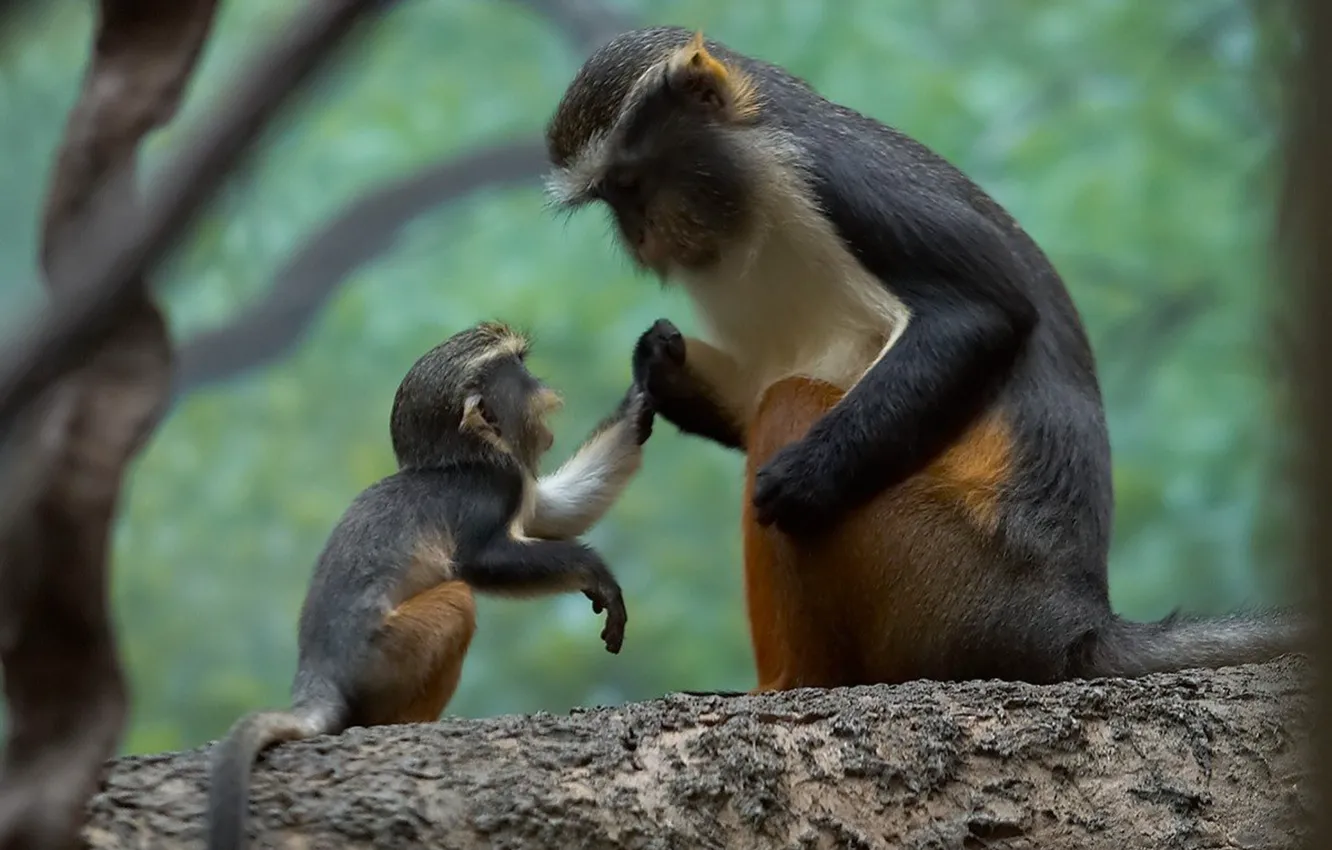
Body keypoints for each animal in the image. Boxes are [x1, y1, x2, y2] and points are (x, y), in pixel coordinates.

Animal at [206, 320, 654, 850]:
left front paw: (648, 382)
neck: (460, 461)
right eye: (518, 370)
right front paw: (594, 571)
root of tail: (318, 676)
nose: (544, 387)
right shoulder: (492, 488)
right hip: (384, 657)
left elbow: (553, 510)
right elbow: (480, 563)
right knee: (458, 600)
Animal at [547, 27, 1307, 689]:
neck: (752, 183)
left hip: (935, 577)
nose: (638, 234)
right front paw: (659, 362)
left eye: (631, 183)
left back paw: (793, 681)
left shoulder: (834, 178)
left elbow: (981, 314)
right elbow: (750, 386)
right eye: (612, 197)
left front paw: (804, 476)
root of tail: (1073, 624)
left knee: (789, 405)